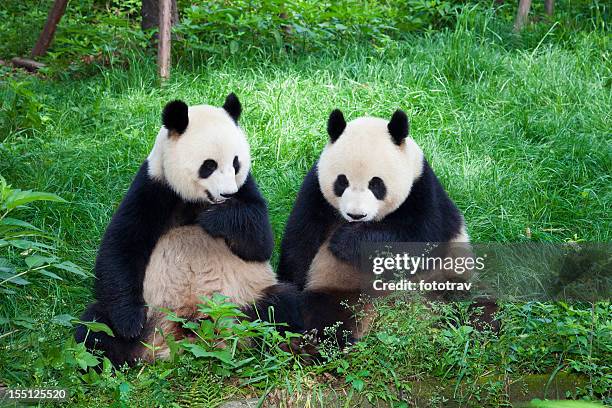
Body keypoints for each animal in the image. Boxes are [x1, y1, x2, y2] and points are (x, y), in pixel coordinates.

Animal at [75, 95, 302, 366]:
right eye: (209, 165)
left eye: (236, 163)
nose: (227, 194)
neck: (198, 200)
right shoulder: (153, 187)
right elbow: (121, 246)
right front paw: (130, 323)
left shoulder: (246, 188)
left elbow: (260, 242)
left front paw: (216, 219)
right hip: (153, 316)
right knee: (95, 327)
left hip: (246, 301)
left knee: (283, 306)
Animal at [278, 109, 474, 350]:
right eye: (342, 182)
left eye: (376, 184)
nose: (356, 215)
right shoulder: (315, 191)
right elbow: (300, 241)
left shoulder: (422, 191)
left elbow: (418, 240)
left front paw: (344, 241)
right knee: (328, 314)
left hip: (443, 281)